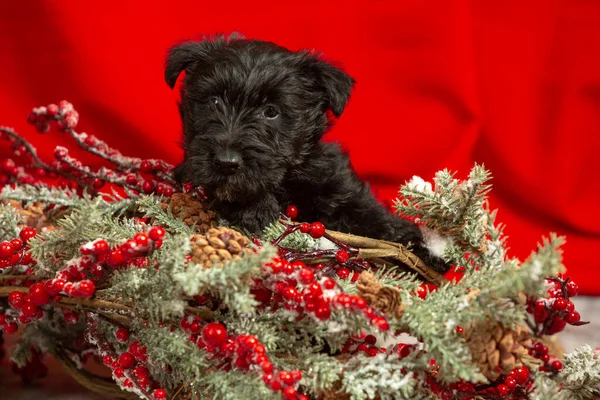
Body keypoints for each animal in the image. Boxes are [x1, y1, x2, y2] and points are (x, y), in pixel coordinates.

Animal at [166, 34, 448, 274]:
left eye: (271, 111)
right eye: (213, 102)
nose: (226, 163)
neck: (287, 180)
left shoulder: (334, 181)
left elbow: (369, 211)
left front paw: (422, 247)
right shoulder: (190, 171)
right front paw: (259, 209)